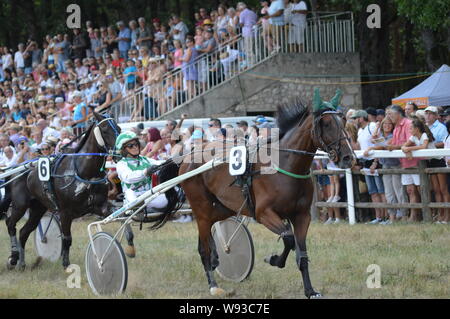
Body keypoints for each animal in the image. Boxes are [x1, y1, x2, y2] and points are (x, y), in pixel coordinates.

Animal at [5, 112, 120, 270]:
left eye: (119, 128)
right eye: (104, 129)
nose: (121, 151)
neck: (82, 172)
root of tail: (17, 169)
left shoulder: (99, 206)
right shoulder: (65, 212)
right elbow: (67, 239)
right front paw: (66, 264)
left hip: (37, 208)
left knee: (24, 232)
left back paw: (22, 262)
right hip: (20, 206)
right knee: (10, 224)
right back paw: (14, 257)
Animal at [158, 89, 356, 298]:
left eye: (343, 120)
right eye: (325, 123)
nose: (348, 157)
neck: (285, 164)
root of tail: (188, 155)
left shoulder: (302, 215)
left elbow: (301, 254)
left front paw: (310, 290)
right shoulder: (264, 214)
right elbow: (288, 238)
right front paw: (274, 259)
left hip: (224, 206)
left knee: (208, 232)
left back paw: (216, 259)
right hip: (201, 205)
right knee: (203, 245)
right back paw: (213, 285)